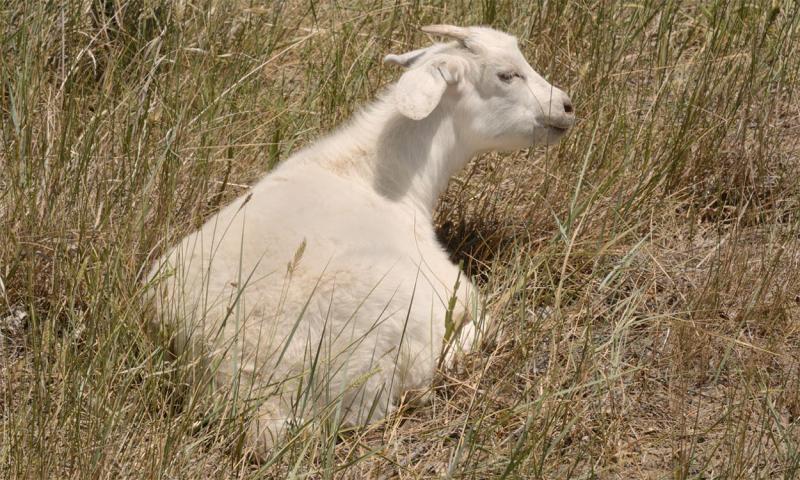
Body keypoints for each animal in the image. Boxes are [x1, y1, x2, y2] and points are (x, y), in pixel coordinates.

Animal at [147, 25, 575, 454]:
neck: (379, 176)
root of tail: (256, 401)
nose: (567, 106)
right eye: (507, 75)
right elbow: (483, 313)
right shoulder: (450, 284)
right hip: (391, 343)